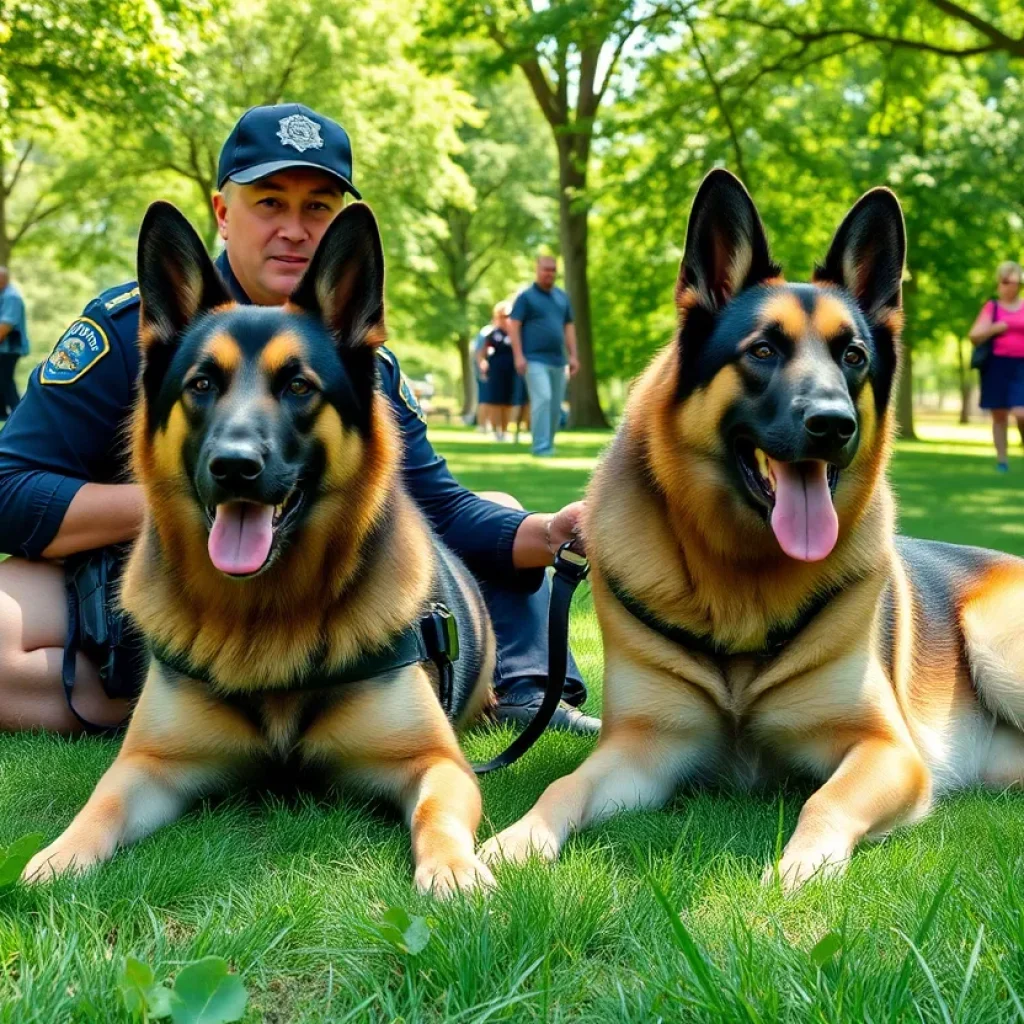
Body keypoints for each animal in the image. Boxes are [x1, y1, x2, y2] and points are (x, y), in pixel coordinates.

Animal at [25, 199, 497, 897]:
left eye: (299, 386)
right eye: (201, 384)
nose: (234, 467)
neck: (266, 616)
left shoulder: (436, 762)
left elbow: (436, 810)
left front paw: (455, 868)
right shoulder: (148, 763)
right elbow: (100, 803)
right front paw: (59, 855)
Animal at [483, 167, 1024, 888]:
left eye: (853, 356)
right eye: (763, 350)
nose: (833, 424)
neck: (740, 576)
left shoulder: (887, 751)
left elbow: (824, 802)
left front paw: (799, 871)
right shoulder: (642, 748)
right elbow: (561, 787)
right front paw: (511, 842)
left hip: (995, 637)